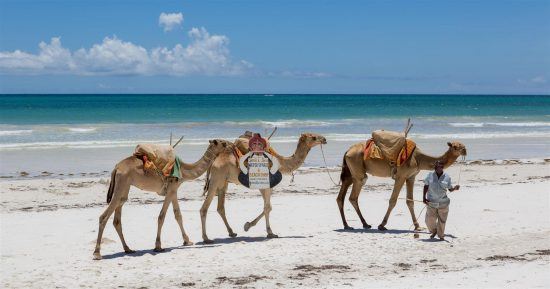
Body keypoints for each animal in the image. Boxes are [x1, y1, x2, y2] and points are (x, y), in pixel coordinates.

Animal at [94, 138, 234, 260]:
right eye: (223, 143)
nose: (232, 145)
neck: (184, 170)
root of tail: (116, 168)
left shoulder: (173, 190)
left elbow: (178, 215)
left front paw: (187, 241)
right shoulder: (171, 188)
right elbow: (162, 216)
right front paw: (158, 246)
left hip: (124, 187)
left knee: (118, 216)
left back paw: (128, 249)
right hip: (121, 184)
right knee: (104, 216)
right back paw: (97, 253)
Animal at [338, 140, 468, 230]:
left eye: (462, 144)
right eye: (455, 146)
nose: (465, 150)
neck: (418, 158)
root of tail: (347, 151)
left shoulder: (411, 177)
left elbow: (410, 201)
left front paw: (417, 226)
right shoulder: (400, 176)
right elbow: (393, 201)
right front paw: (382, 225)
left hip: (350, 174)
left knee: (341, 197)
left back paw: (348, 225)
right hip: (358, 172)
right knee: (353, 197)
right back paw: (363, 224)